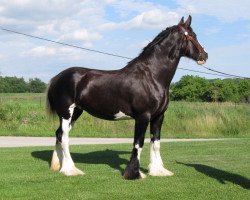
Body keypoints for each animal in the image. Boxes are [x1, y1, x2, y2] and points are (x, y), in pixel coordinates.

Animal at [46, 15, 207, 180]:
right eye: (192, 36)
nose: (204, 55)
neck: (151, 76)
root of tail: (57, 77)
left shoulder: (159, 116)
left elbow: (156, 143)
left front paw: (158, 170)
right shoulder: (143, 116)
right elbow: (138, 143)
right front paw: (134, 173)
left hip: (76, 112)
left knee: (59, 134)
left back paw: (59, 166)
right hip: (66, 113)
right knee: (64, 137)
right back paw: (70, 169)